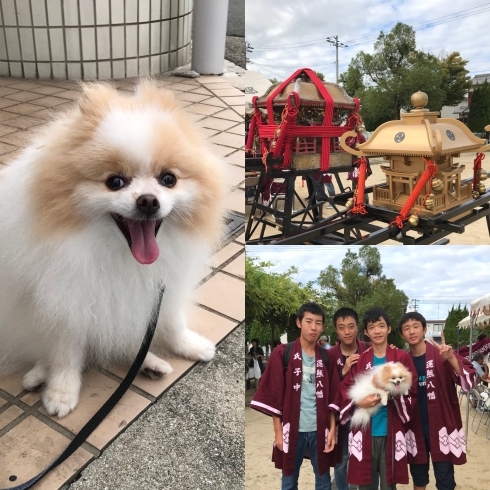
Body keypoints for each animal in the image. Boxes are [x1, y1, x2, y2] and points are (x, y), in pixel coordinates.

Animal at [0, 79, 228, 418]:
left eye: (168, 179)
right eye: (115, 182)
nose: (148, 200)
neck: (120, 255)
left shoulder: (162, 287)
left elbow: (173, 322)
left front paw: (191, 345)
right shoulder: (66, 296)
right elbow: (65, 350)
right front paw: (61, 391)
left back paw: (151, 363)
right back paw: (37, 375)